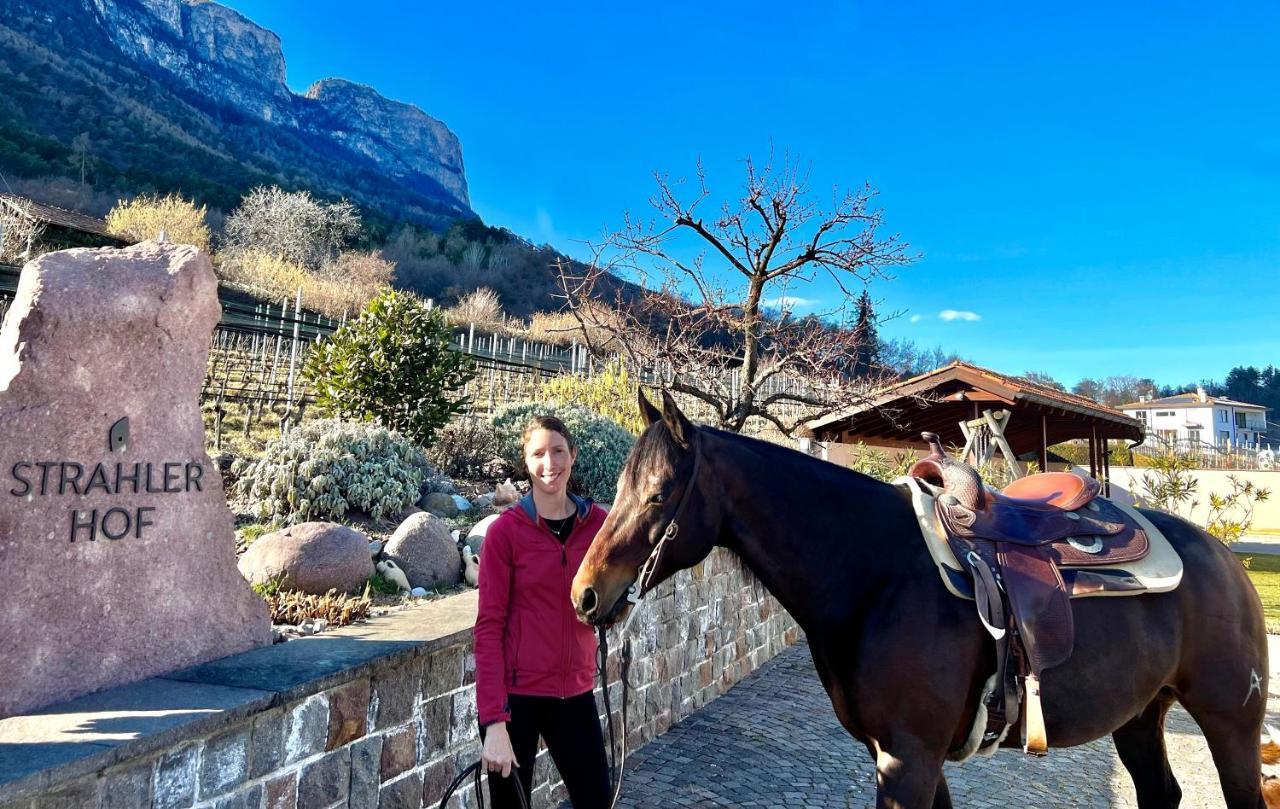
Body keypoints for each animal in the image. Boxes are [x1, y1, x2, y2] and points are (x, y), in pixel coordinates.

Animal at [576, 389, 1274, 803]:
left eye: (658, 495)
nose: (584, 595)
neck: (874, 575)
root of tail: (1226, 562)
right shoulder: (908, 756)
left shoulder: (907, 758)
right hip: (1139, 717)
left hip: (1231, 725)